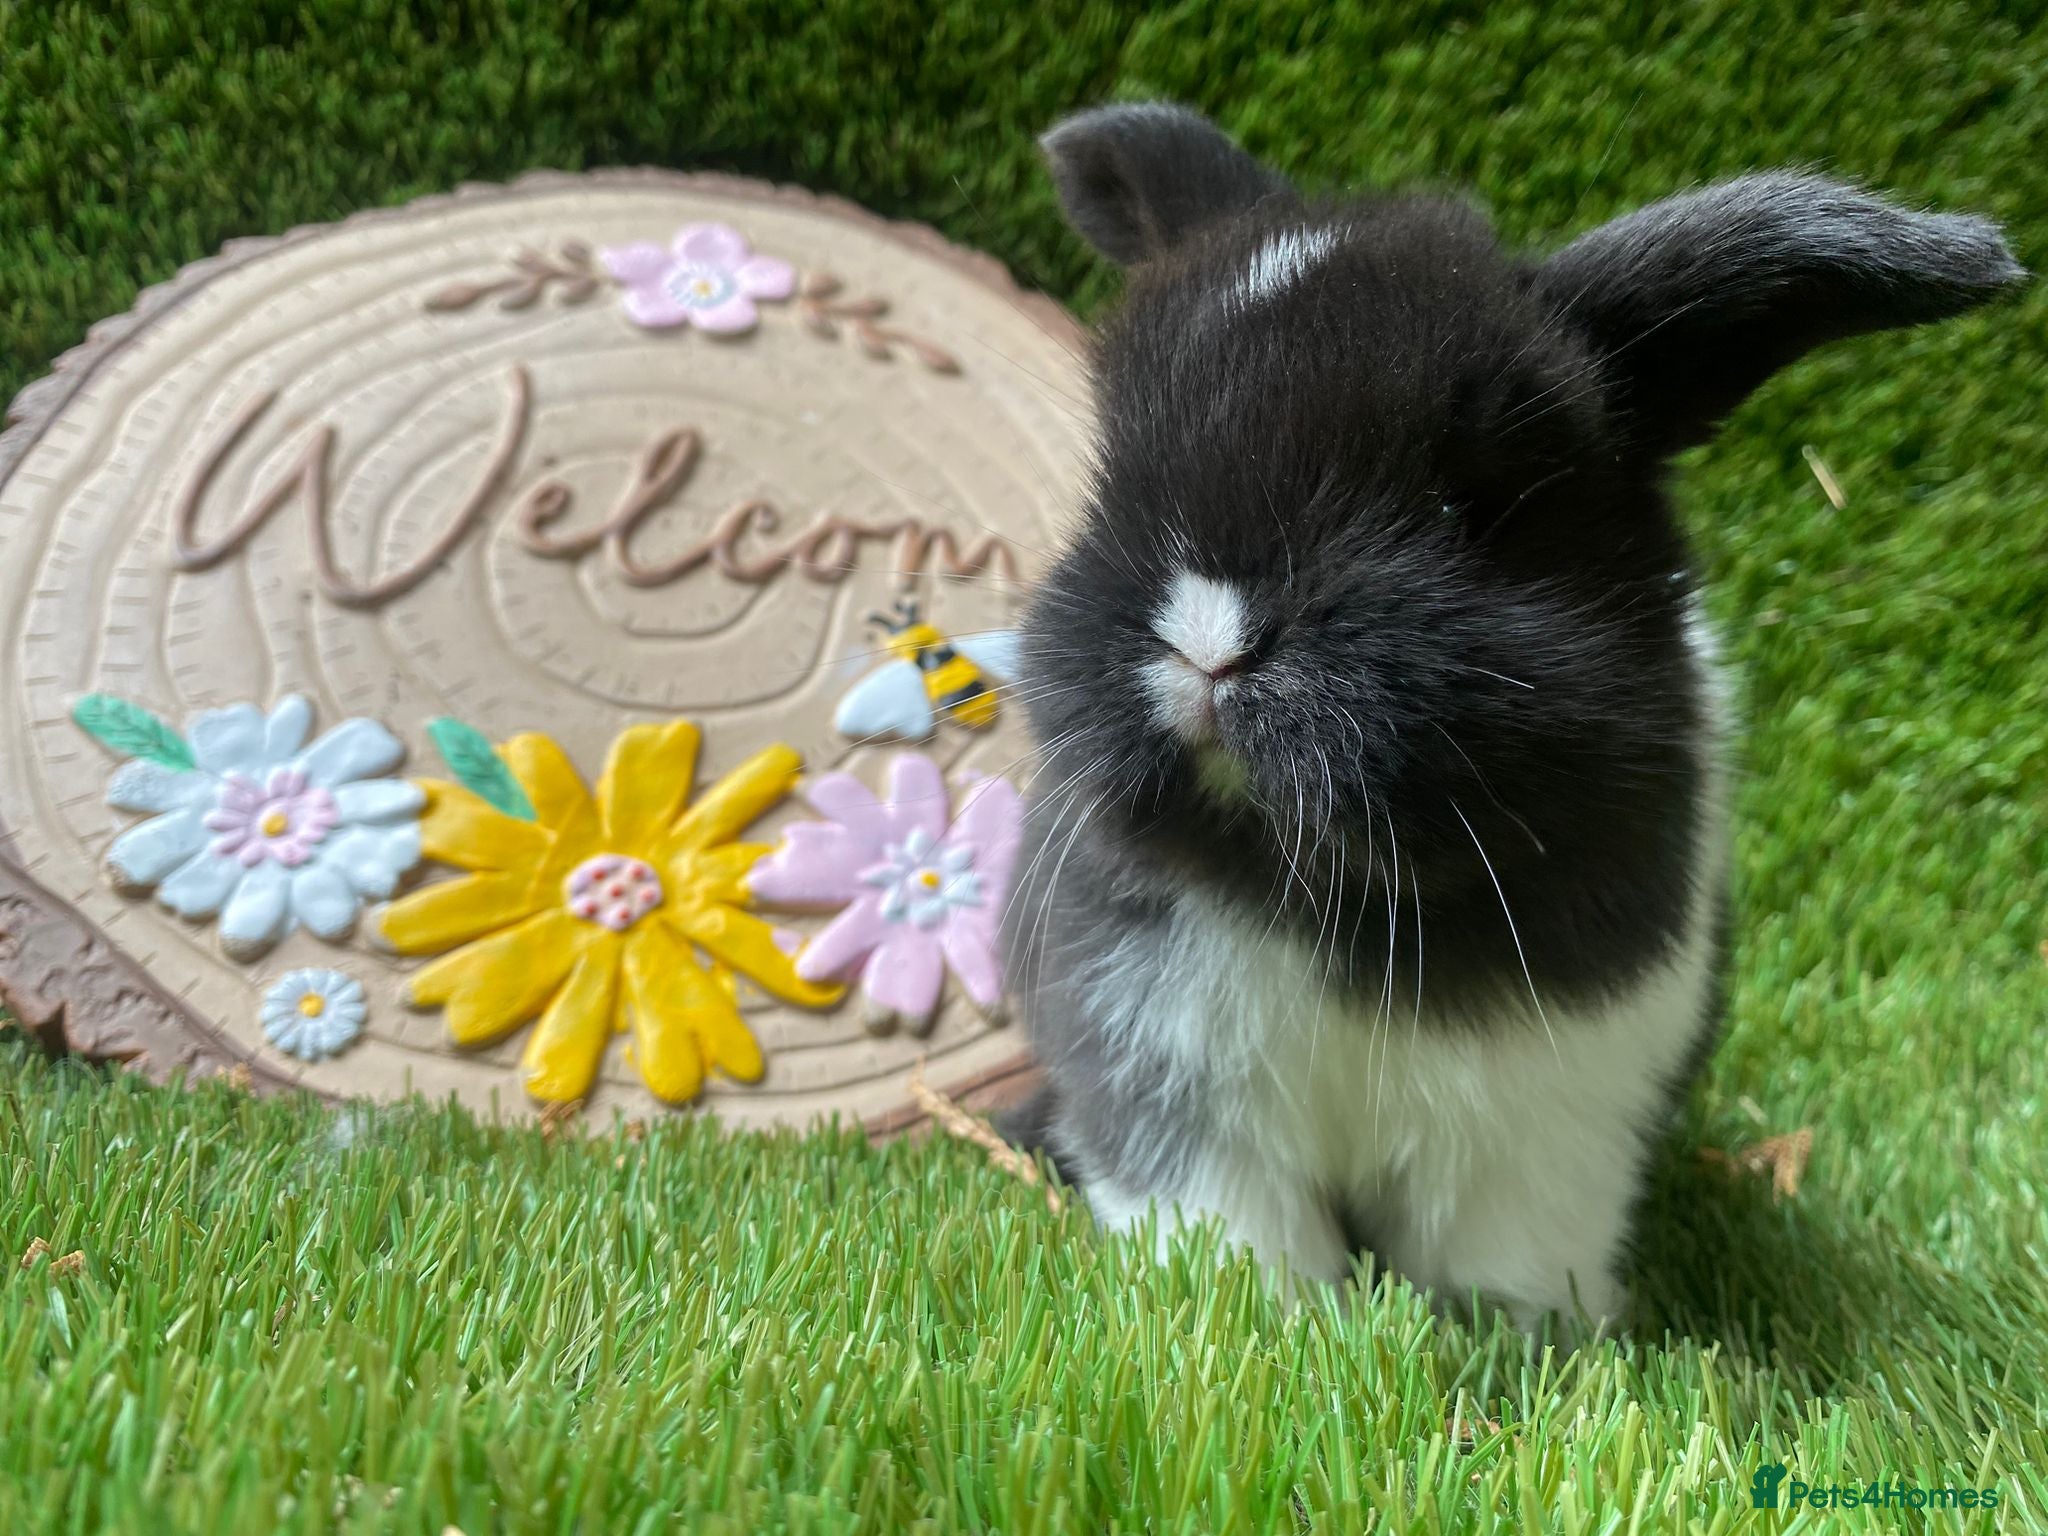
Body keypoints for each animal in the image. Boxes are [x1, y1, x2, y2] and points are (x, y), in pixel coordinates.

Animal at [999, 101, 2022, 1329]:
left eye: (1465, 507)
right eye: (1113, 479)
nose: (1207, 639)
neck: (1336, 890)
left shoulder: (1543, 1135)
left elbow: (1502, 1270)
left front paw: (1520, 1349)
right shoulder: (1171, 1088)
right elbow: (1237, 1239)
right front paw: (1269, 1326)